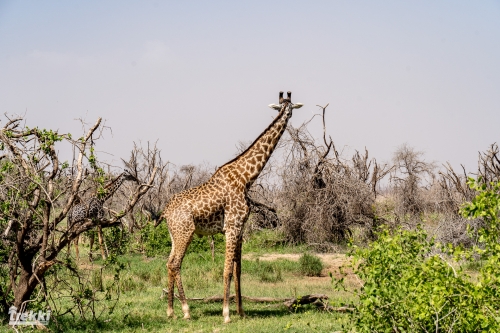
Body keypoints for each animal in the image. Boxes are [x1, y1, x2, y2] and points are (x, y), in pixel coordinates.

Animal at [162, 91, 302, 322]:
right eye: (286, 108)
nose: (287, 115)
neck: (246, 178)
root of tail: (165, 211)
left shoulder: (241, 228)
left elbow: (238, 270)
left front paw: (241, 311)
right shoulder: (232, 227)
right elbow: (227, 270)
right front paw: (226, 314)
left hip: (175, 234)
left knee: (169, 263)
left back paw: (171, 310)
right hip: (185, 232)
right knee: (175, 264)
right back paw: (186, 310)